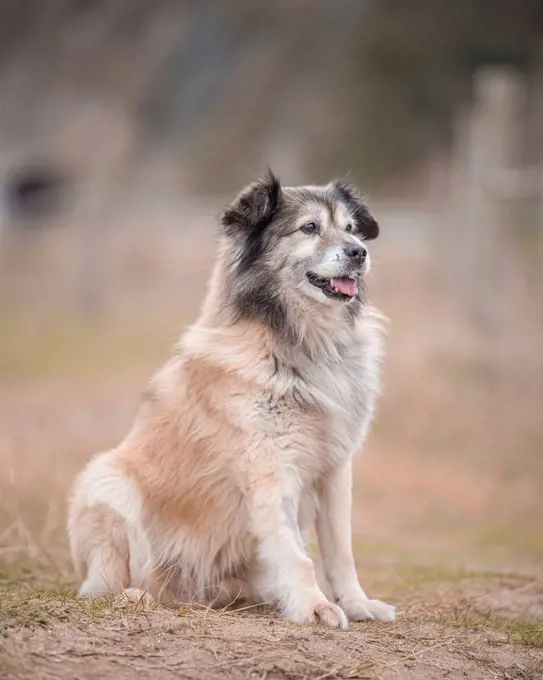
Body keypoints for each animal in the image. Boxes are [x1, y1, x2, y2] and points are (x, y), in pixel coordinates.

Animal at [69, 173, 400, 628]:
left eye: (350, 228)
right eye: (309, 227)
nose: (359, 253)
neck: (302, 343)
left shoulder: (335, 469)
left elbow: (340, 551)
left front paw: (356, 603)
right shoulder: (269, 470)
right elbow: (297, 555)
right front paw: (313, 607)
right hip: (105, 481)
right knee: (108, 583)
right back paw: (140, 595)